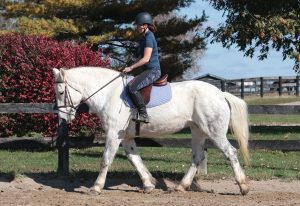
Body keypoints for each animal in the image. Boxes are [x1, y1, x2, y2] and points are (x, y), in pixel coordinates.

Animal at [52, 67, 250, 195]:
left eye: (60, 92)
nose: (63, 118)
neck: (109, 93)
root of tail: (220, 93)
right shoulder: (125, 136)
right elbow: (134, 159)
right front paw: (149, 183)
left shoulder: (113, 134)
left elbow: (106, 160)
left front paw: (96, 187)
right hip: (198, 131)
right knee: (197, 157)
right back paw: (181, 186)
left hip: (214, 131)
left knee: (230, 152)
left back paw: (243, 187)